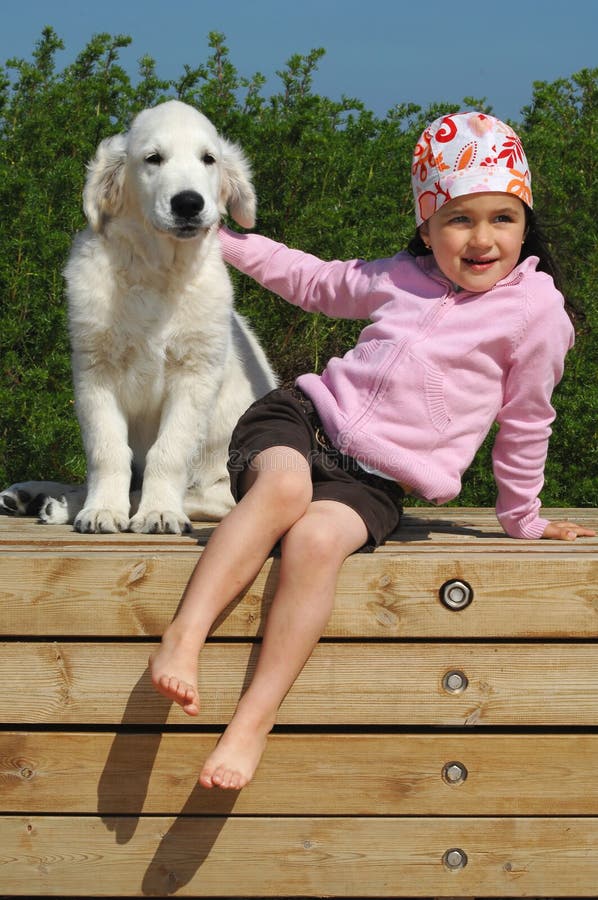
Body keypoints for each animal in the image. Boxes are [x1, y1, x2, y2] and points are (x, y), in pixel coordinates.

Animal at [0, 101, 276, 532]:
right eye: (153, 158)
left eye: (208, 159)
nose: (188, 203)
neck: (157, 272)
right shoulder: (95, 370)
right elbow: (107, 450)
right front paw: (101, 509)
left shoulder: (195, 375)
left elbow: (169, 451)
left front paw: (159, 511)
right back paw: (38, 497)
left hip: (230, 482)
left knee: (197, 494)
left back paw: (59, 504)